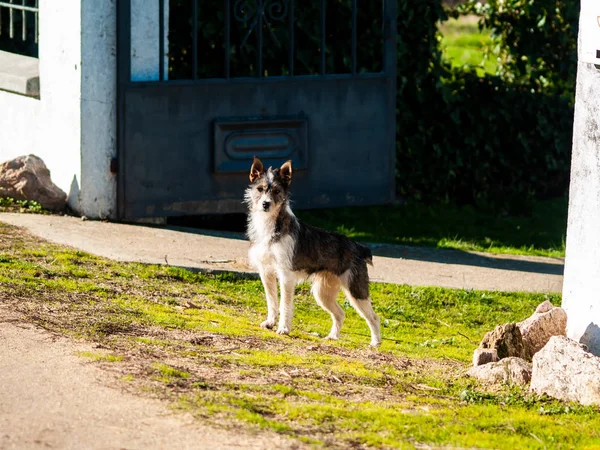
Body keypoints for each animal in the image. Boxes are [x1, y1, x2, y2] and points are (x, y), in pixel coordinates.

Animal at [244, 156, 380, 346]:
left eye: (277, 191)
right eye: (260, 189)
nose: (265, 204)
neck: (270, 226)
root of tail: (359, 247)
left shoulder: (286, 276)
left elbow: (285, 305)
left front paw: (283, 328)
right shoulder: (266, 272)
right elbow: (272, 301)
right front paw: (270, 322)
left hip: (356, 291)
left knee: (374, 317)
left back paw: (375, 343)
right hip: (323, 293)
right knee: (340, 313)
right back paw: (333, 336)